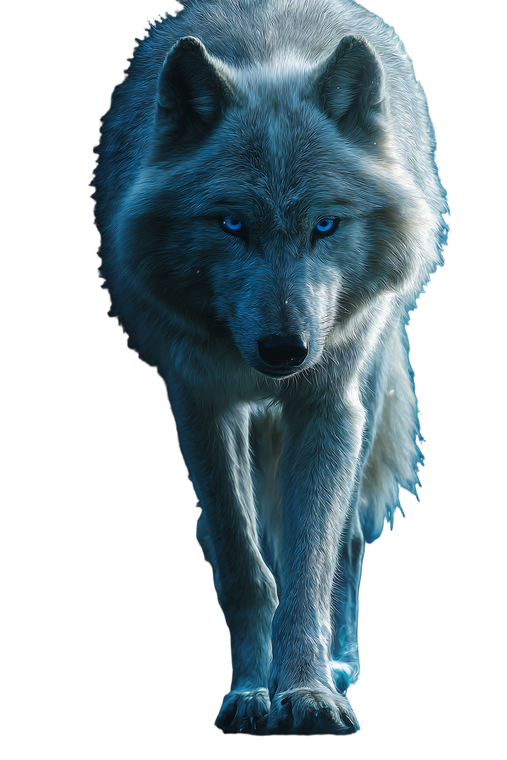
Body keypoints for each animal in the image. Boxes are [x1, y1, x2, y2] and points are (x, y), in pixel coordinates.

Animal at [89, 0, 452, 739]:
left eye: (325, 225)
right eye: (231, 224)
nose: (286, 351)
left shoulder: (328, 404)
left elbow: (310, 560)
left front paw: (309, 692)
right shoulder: (201, 403)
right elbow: (242, 563)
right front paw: (251, 691)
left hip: (368, 388)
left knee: (347, 538)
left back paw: (340, 664)